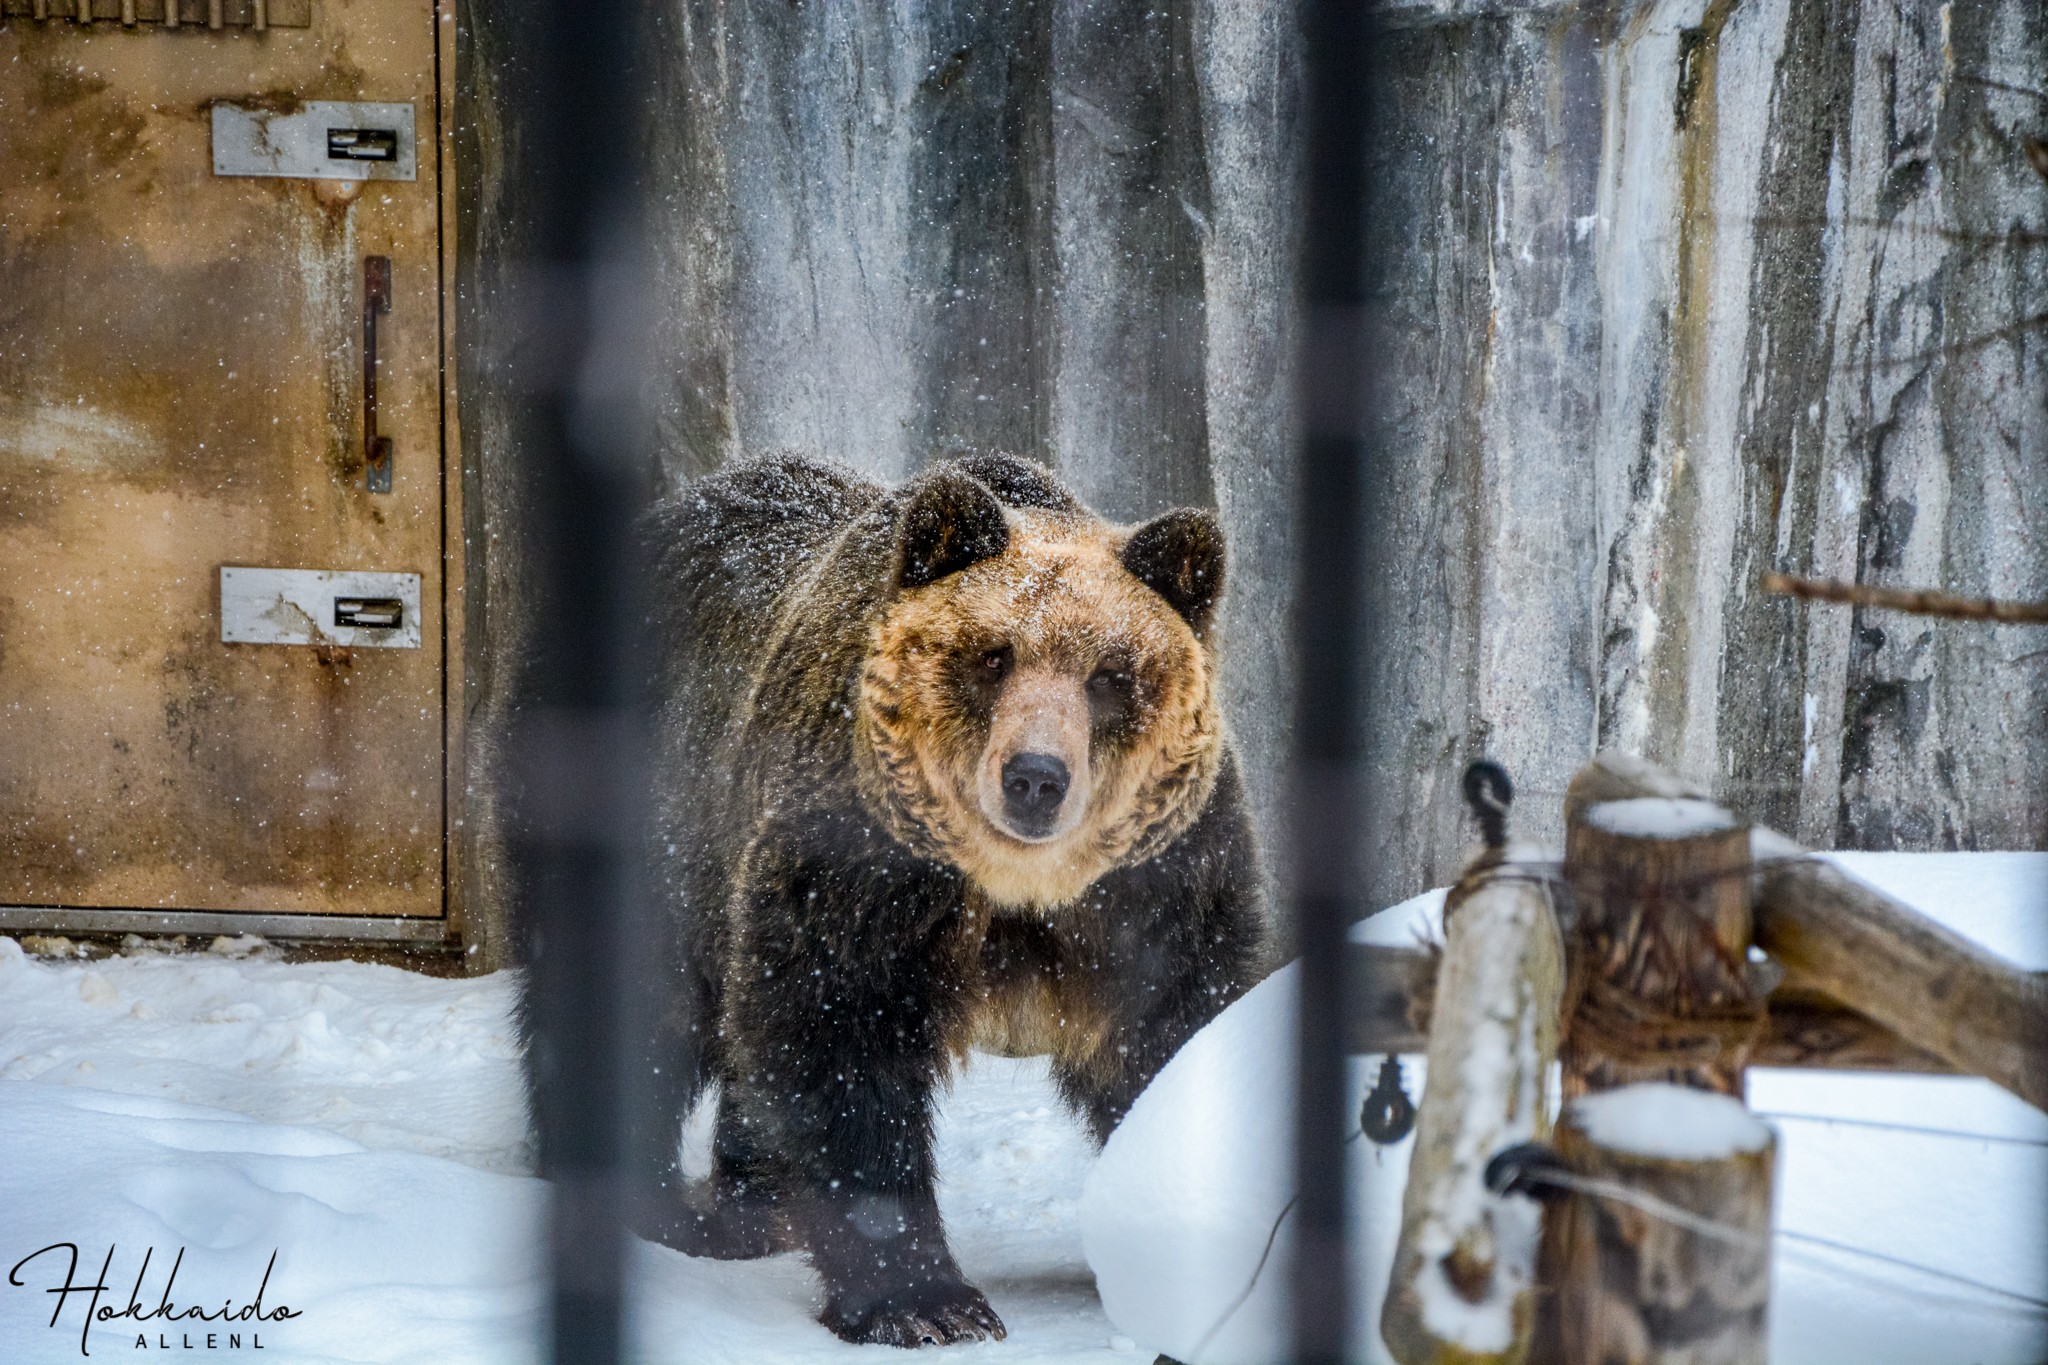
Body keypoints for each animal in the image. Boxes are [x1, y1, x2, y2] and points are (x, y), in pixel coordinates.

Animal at [634, 454, 1261, 1350]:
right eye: (993, 656)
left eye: (1110, 675)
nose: (1035, 777)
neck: (1016, 892)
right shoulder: (862, 869)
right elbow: (842, 1045)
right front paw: (925, 1301)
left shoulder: (1159, 885)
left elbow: (1172, 1031)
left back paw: (753, 1210)